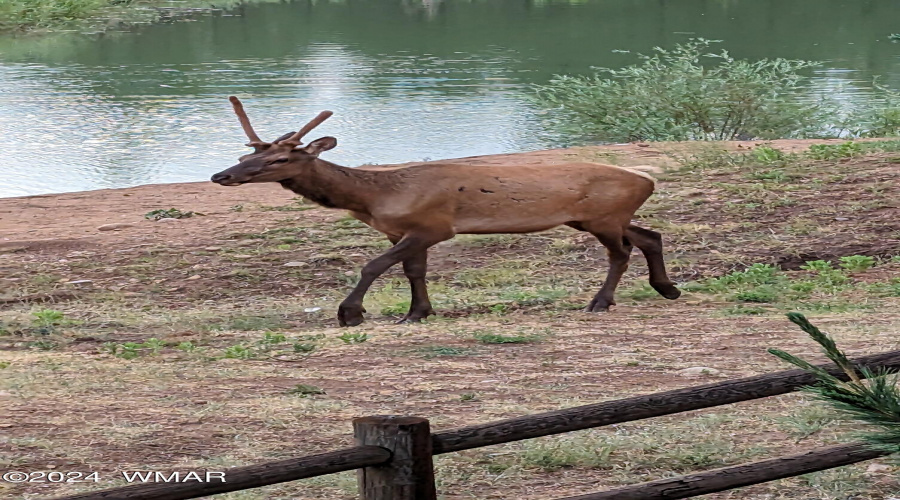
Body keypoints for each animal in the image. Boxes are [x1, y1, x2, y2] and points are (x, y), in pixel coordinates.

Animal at [209, 97, 676, 326]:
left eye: (279, 159)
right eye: (247, 155)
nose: (221, 175)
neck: (374, 199)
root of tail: (647, 179)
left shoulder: (434, 225)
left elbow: (373, 265)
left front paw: (351, 313)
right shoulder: (403, 230)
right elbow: (413, 271)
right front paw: (417, 313)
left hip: (602, 216)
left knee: (621, 252)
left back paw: (600, 302)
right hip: (597, 217)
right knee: (649, 236)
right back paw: (666, 288)